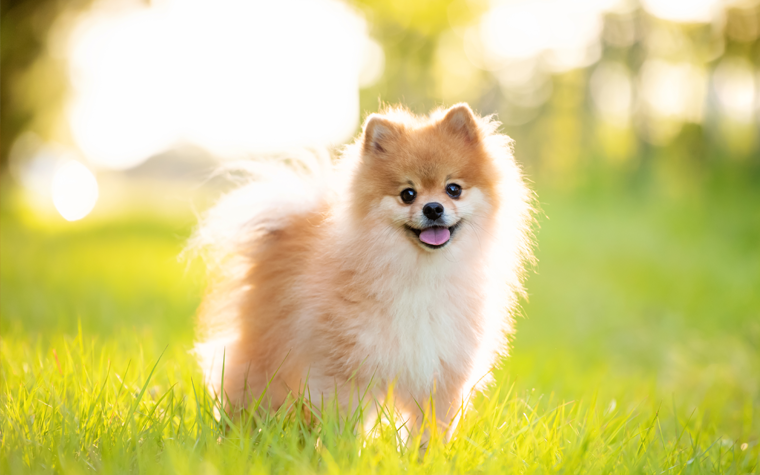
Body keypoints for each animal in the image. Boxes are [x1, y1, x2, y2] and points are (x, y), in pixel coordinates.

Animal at [190, 103, 536, 442]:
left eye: (453, 189)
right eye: (407, 194)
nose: (433, 208)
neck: (420, 273)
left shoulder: (441, 371)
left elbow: (429, 432)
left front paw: (424, 455)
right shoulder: (347, 370)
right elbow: (344, 424)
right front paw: (342, 452)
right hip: (268, 354)